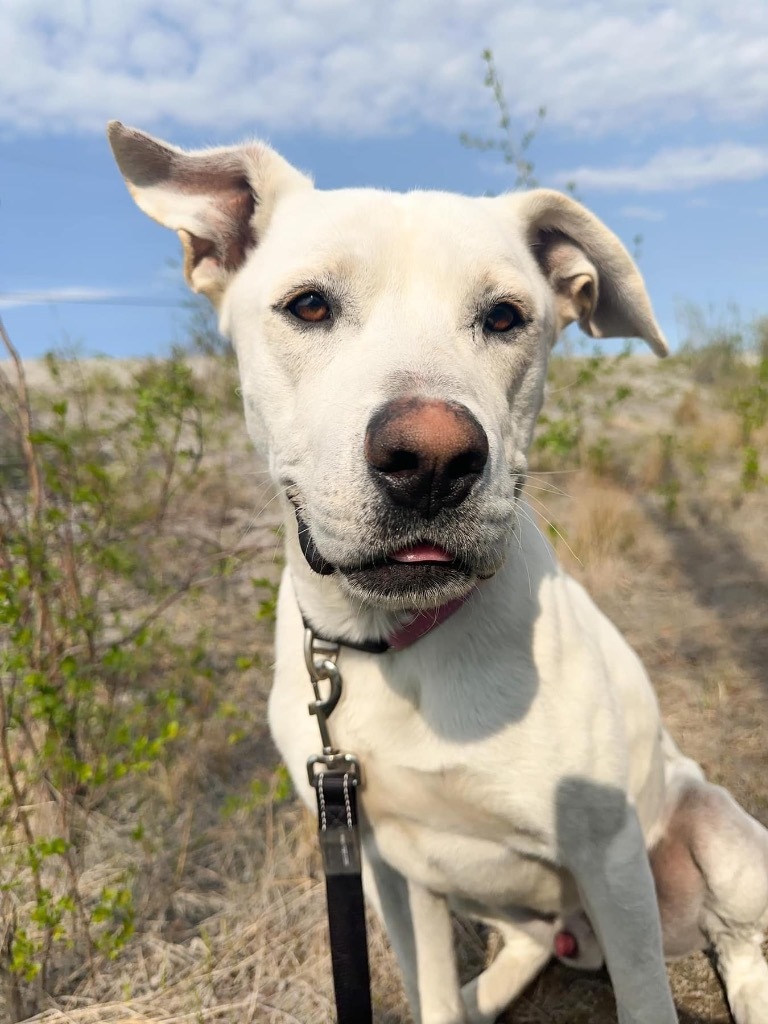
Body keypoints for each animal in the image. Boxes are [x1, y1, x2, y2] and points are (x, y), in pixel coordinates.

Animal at [109, 121, 768, 1024]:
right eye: (308, 305)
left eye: (506, 316)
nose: (430, 460)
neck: (395, 643)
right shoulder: (389, 864)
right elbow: (428, 993)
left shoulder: (610, 859)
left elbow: (646, 1000)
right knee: (531, 942)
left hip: (725, 839)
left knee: (740, 939)